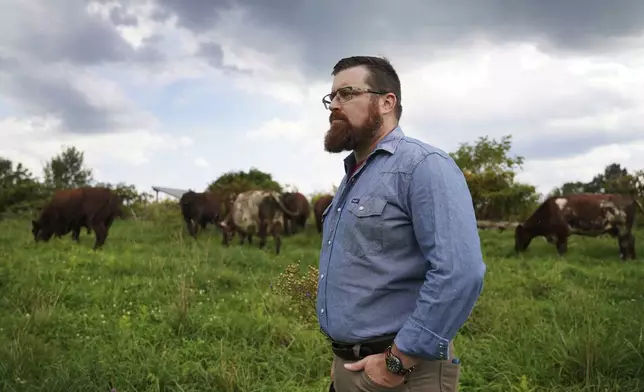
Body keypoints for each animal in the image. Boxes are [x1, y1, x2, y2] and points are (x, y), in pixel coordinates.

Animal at [512, 193, 644, 260]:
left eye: (517, 235)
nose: (516, 250)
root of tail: (629, 197)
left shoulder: (561, 234)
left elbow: (562, 249)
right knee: (630, 240)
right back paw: (632, 258)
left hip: (623, 228)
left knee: (625, 242)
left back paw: (624, 258)